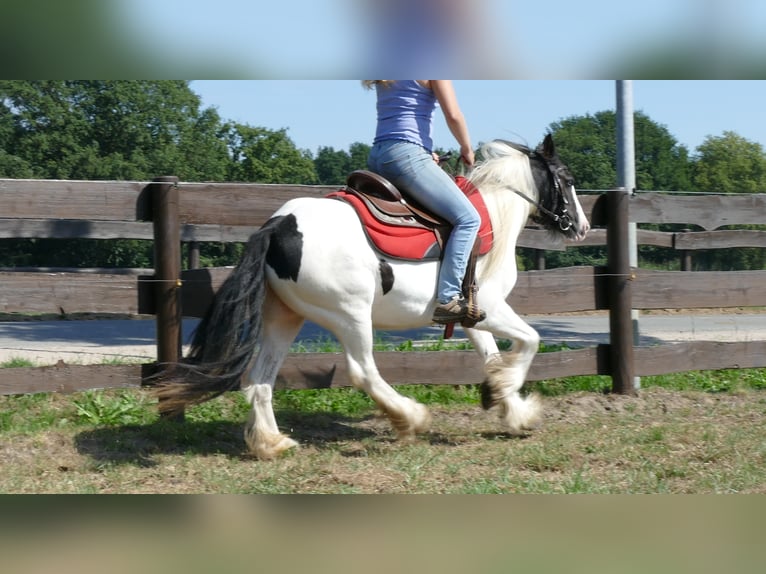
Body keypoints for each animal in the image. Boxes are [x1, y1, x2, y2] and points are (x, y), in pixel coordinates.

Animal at [154, 134, 588, 460]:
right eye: (567, 178)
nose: (581, 226)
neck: (493, 218)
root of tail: (278, 225)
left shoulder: (471, 315)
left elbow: (494, 357)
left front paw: (510, 407)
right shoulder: (494, 309)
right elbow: (531, 341)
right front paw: (504, 395)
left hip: (285, 318)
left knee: (261, 379)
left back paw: (271, 443)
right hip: (351, 316)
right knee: (363, 372)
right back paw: (410, 417)